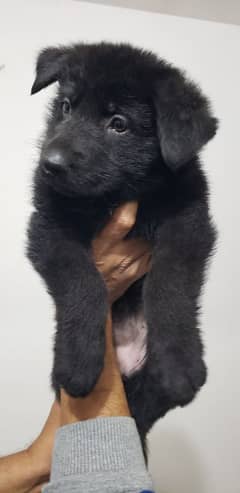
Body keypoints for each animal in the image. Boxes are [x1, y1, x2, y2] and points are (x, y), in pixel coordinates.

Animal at [28, 43, 218, 438]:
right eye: (66, 106)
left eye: (118, 124)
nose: (49, 164)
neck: (115, 195)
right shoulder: (48, 227)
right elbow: (83, 283)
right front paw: (79, 360)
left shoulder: (188, 222)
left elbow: (170, 284)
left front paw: (178, 363)